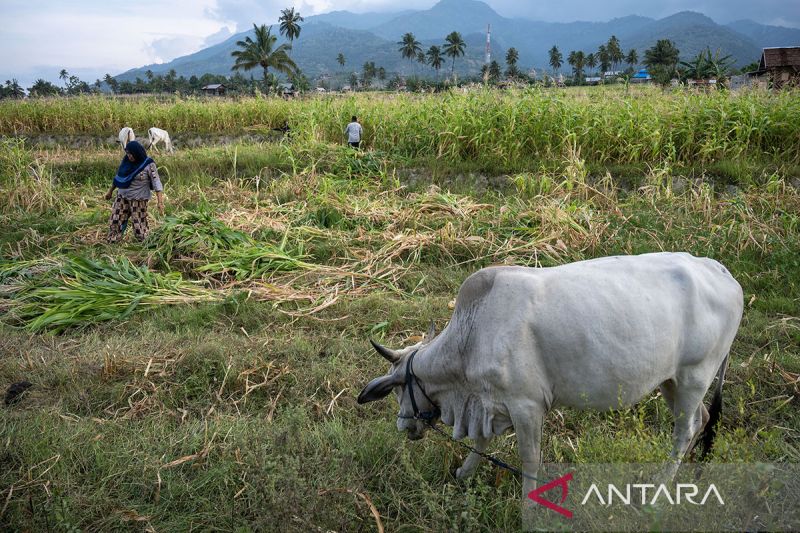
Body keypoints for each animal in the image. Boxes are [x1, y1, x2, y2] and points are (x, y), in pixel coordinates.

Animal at [358, 252, 744, 502]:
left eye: (397, 391)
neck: (473, 335)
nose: (404, 425)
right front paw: (463, 474)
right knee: (702, 418)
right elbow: (481, 442)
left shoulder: (526, 405)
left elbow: (530, 459)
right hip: (670, 381)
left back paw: (661, 483)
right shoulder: (491, 403)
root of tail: (721, 271)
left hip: (695, 376)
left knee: (686, 429)